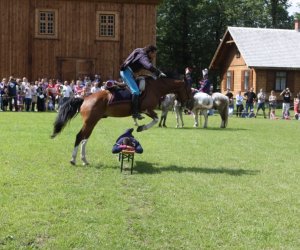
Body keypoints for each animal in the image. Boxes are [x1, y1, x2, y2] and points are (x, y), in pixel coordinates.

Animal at [51, 77, 192, 165]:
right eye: (189, 89)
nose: (189, 104)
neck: (155, 88)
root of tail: (85, 98)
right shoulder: (146, 109)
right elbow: (156, 119)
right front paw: (141, 127)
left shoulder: (147, 110)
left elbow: (155, 118)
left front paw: (139, 126)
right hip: (90, 122)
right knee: (80, 137)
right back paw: (73, 159)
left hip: (92, 122)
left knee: (84, 139)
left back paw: (84, 160)